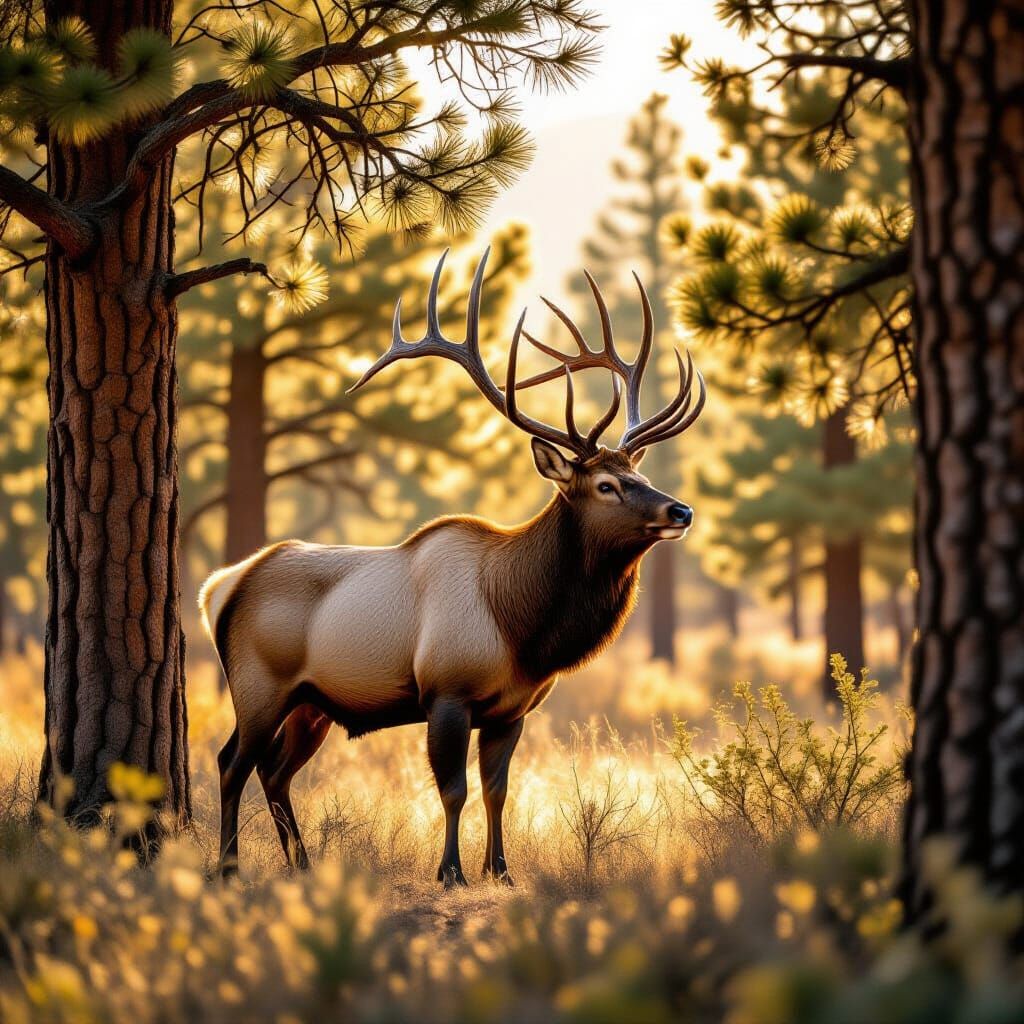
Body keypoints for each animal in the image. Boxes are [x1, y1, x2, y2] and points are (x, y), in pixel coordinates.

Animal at [199, 248, 706, 884]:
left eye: (638, 472)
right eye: (607, 485)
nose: (681, 510)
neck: (522, 627)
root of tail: (219, 589)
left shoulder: (512, 708)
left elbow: (497, 790)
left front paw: (502, 870)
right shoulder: (446, 692)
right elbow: (453, 790)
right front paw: (451, 872)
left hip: (311, 703)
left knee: (275, 772)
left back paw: (304, 865)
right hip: (258, 684)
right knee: (231, 762)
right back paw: (227, 866)